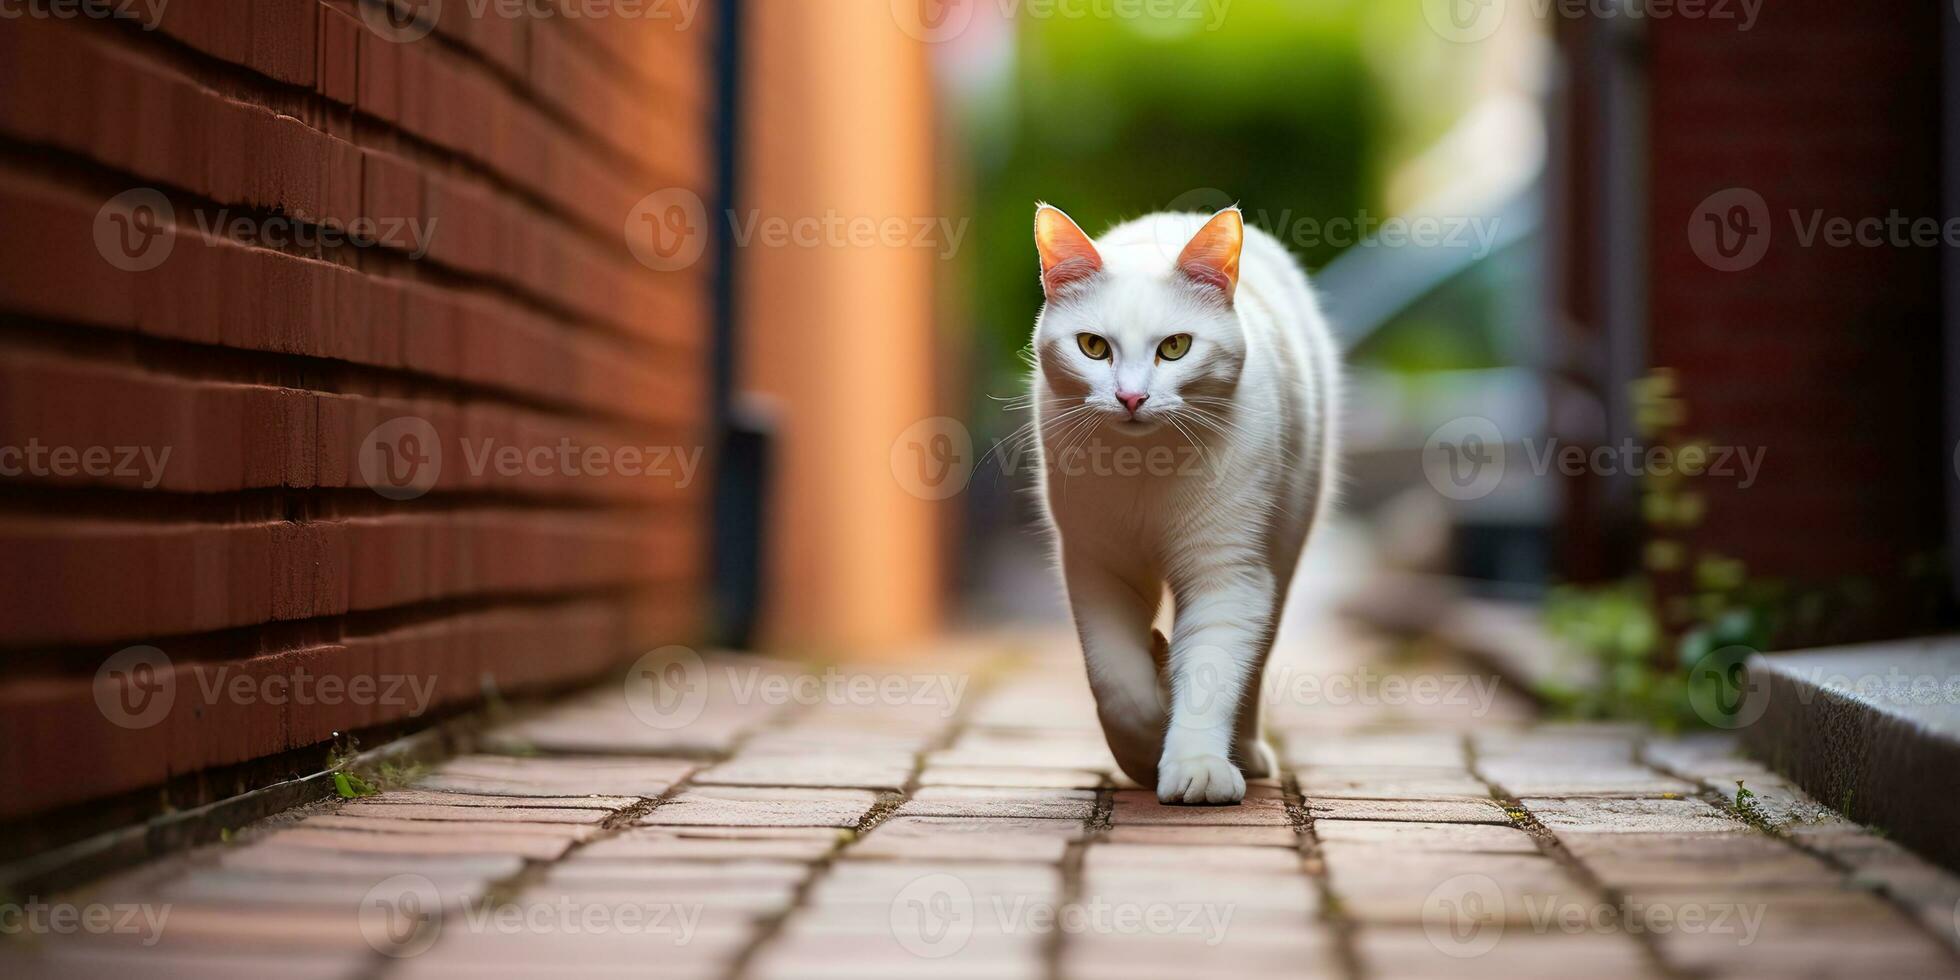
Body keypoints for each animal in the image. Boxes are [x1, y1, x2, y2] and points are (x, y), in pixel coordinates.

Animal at [1034, 200, 1340, 803]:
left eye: (1175, 347)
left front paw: (1196, 765)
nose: (1131, 397)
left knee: (1254, 663)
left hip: (1283, 550)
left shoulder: (1228, 572)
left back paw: (1245, 749)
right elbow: (1118, 686)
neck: (1144, 470)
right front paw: (1146, 739)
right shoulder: (1097, 566)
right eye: (1093, 347)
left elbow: (1210, 673)